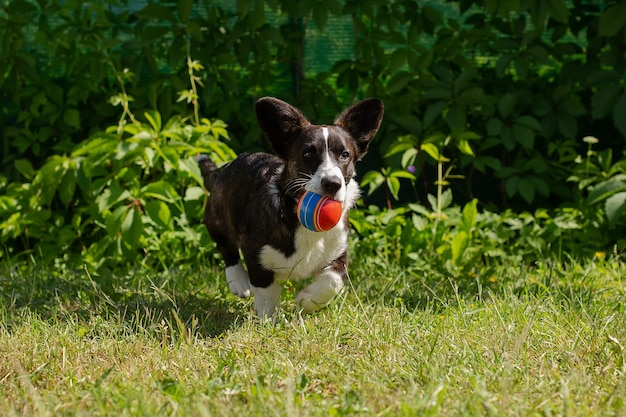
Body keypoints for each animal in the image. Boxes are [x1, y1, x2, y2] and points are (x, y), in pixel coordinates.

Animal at [197, 96, 382, 316]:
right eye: (308, 153)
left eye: (345, 155)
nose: (332, 183)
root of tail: (223, 168)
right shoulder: (255, 253)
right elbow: (266, 291)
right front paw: (270, 318)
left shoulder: (338, 252)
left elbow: (332, 281)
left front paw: (307, 300)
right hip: (218, 219)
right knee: (226, 248)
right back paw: (238, 282)